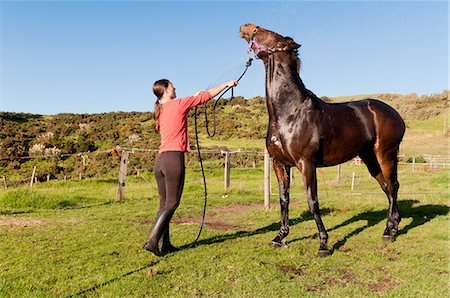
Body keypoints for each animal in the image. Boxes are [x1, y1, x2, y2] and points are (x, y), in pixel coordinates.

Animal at [241, 23, 406, 256]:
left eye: (270, 33)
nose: (246, 27)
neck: (289, 113)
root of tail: (395, 114)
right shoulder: (280, 164)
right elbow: (284, 200)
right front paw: (280, 237)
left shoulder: (306, 164)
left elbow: (313, 201)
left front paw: (324, 244)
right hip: (369, 158)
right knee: (387, 187)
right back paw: (393, 227)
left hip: (386, 155)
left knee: (393, 186)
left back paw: (388, 232)